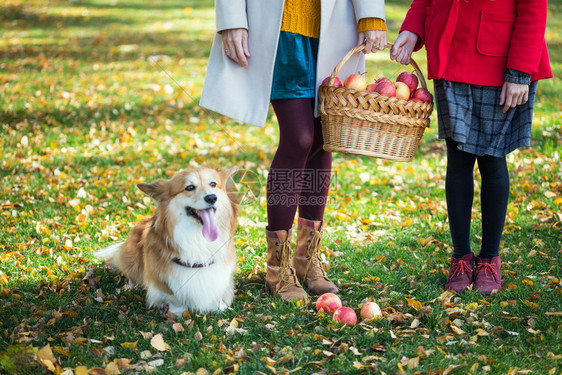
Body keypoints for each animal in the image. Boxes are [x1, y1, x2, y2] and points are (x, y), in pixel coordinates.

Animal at [96, 167, 236, 314]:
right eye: (190, 187)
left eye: (213, 184)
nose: (211, 197)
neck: (198, 239)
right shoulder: (164, 279)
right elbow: (173, 296)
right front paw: (178, 312)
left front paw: (219, 306)